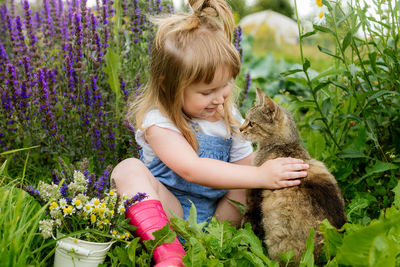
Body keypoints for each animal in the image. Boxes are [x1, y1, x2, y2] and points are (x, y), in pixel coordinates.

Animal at [241, 89, 346, 264]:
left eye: (252, 123)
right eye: (245, 119)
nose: (239, 129)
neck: (285, 144)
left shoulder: (254, 196)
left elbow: (248, 221)